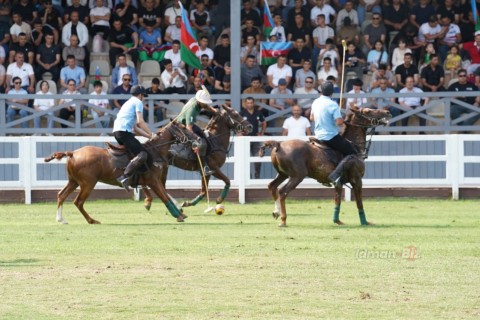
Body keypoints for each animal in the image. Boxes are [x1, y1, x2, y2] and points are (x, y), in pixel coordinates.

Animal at [42, 121, 197, 224]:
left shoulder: (155, 181)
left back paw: (61, 219)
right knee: (78, 201)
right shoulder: (152, 181)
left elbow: (167, 194)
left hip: (73, 181)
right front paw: (179, 215)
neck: (155, 151)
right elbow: (164, 197)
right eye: (183, 128)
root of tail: (72, 153)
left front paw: (180, 211)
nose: (197, 139)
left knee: (61, 195)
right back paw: (92, 220)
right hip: (88, 183)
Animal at [258, 106, 390, 226]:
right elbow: (359, 202)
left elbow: (337, 201)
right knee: (282, 192)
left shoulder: (339, 183)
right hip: (297, 176)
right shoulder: (356, 180)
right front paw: (365, 222)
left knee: (272, 186)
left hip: (283, 174)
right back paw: (283, 219)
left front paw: (337, 221)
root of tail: (279, 145)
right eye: (368, 111)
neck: (355, 147)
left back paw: (276, 212)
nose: (387, 112)